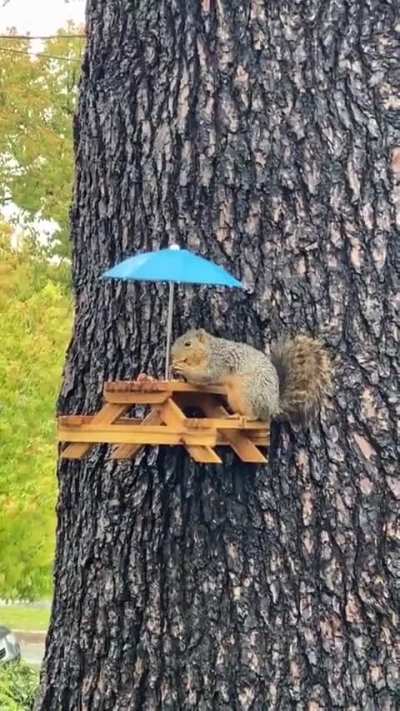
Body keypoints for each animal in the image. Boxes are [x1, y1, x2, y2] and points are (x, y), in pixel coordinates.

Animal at [171, 329, 332, 424]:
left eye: (187, 344)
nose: (172, 355)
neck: (209, 350)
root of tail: (273, 407)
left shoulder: (220, 362)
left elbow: (205, 376)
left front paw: (183, 369)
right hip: (234, 398)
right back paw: (235, 415)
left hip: (251, 394)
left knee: (256, 415)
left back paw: (246, 417)